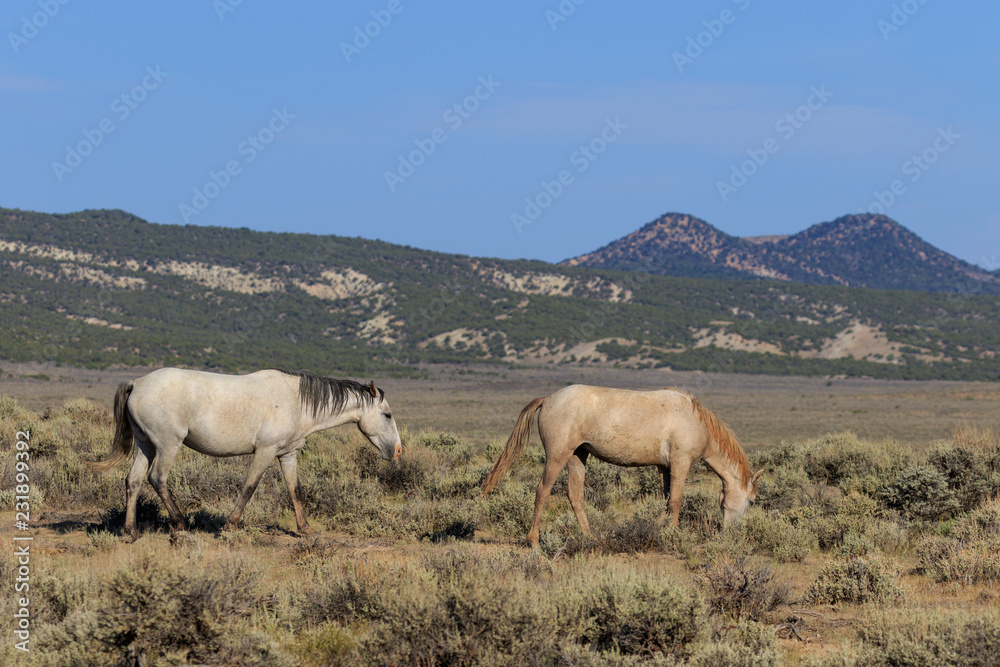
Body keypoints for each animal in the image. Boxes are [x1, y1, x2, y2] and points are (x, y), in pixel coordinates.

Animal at [87, 368, 401, 540]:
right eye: (387, 415)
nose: (397, 451)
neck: (297, 401)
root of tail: (137, 383)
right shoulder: (264, 451)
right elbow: (249, 487)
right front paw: (230, 525)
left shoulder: (287, 455)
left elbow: (295, 491)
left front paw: (306, 529)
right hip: (167, 445)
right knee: (158, 479)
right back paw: (180, 523)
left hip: (146, 445)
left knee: (134, 480)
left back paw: (130, 531)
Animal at [482, 385, 762, 550]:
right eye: (752, 501)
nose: (734, 534)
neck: (695, 421)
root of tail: (549, 398)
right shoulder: (681, 462)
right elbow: (676, 501)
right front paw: (672, 536)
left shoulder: (664, 467)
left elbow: (666, 500)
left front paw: (657, 528)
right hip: (557, 456)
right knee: (542, 491)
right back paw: (534, 543)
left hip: (577, 457)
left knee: (575, 495)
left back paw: (590, 538)